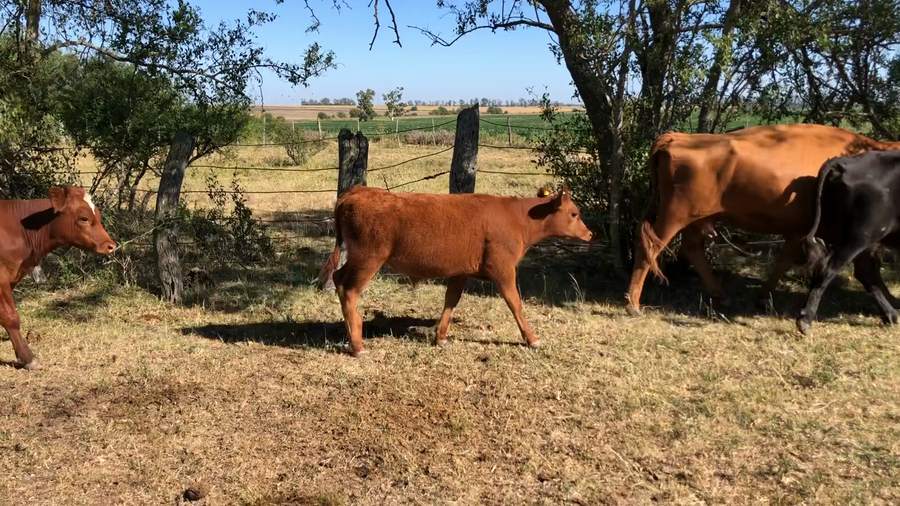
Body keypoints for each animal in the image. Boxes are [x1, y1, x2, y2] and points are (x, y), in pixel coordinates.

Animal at [317, 185, 593, 357]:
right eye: (574, 213)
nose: (590, 234)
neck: (517, 218)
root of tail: (357, 191)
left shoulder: (459, 271)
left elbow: (451, 300)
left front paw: (440, 337)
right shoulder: (503, 269)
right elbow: (515, 303)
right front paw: (532, 338)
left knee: (338, 279)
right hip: (369, 259)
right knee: (348, 289)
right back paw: (358, 345)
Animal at [626, 123, 900, 316]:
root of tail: (679, 137)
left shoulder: (798, 231)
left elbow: (783, 262)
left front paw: (763, 298)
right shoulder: (858, 236)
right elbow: (868, 270)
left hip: (697, 218)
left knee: (691, 249)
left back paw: (721, 295)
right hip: (674, 216)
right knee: (650, 247)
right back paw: (633, 304)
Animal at [796, 151, 900, 335]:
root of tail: (845, 161)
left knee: (865, 272)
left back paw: (891, 315)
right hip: (862, 234)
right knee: (829, 269)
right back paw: (805, 320)